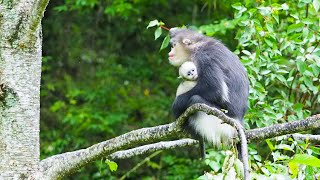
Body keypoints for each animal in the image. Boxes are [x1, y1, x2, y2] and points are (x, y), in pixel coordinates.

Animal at [169, 27, 249, 158]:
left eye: (174, 45)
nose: (170, 53)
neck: (198, 45)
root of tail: (238, 121)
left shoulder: (204, 57)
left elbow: (215, 89)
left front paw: (176, 105)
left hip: (222, 125)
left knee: (195, 99)